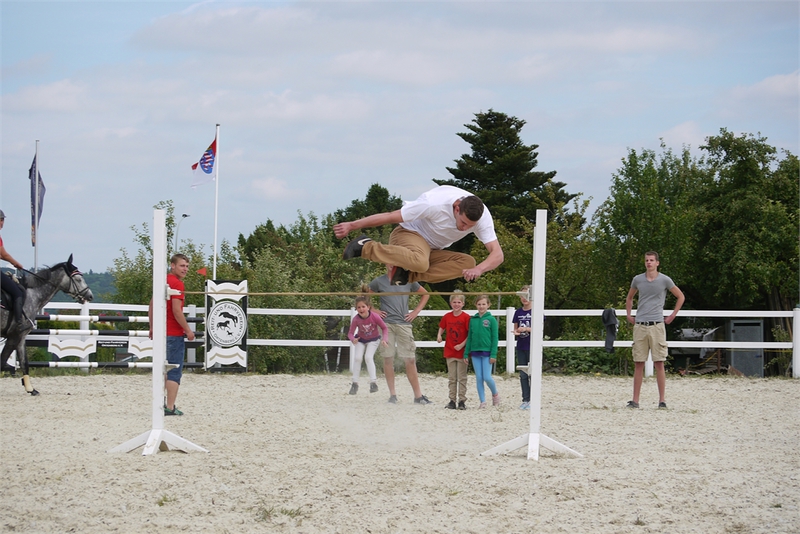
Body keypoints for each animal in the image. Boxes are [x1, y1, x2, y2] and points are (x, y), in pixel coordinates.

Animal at [1, 254, 93, 395]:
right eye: (78, 279)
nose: (90, 295)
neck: (32, 295)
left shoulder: (21, 337)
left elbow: (24, 362)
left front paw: (31, 389)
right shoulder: (14, 336)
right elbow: (2, 361)